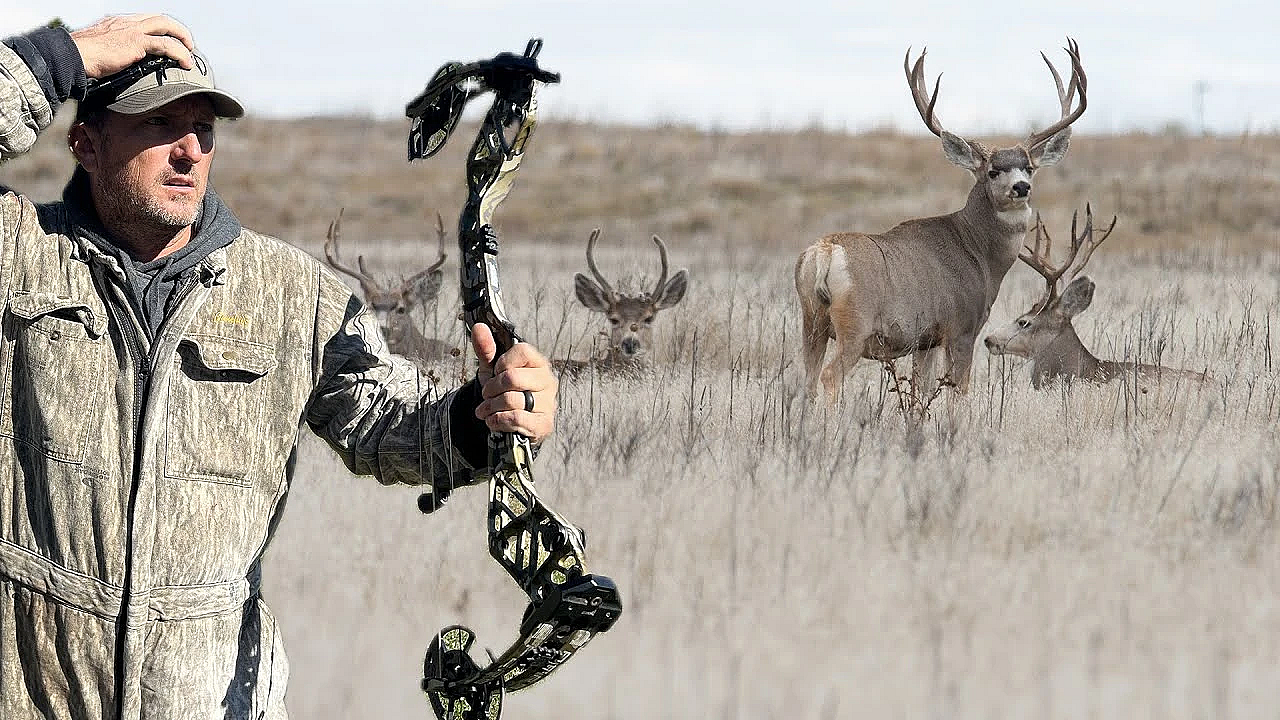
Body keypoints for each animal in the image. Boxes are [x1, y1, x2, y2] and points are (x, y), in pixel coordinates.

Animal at [796, 38, 1087, 402]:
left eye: (1029, 167)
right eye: (993, 171)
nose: (1021, 187)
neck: (978, 254)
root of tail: (823, 253)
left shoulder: (926, 340)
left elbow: (920, 390)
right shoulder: (962, 326)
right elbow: (958, 391)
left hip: (811, 320)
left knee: (806, 380)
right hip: (855, 324)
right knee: (830, 375)